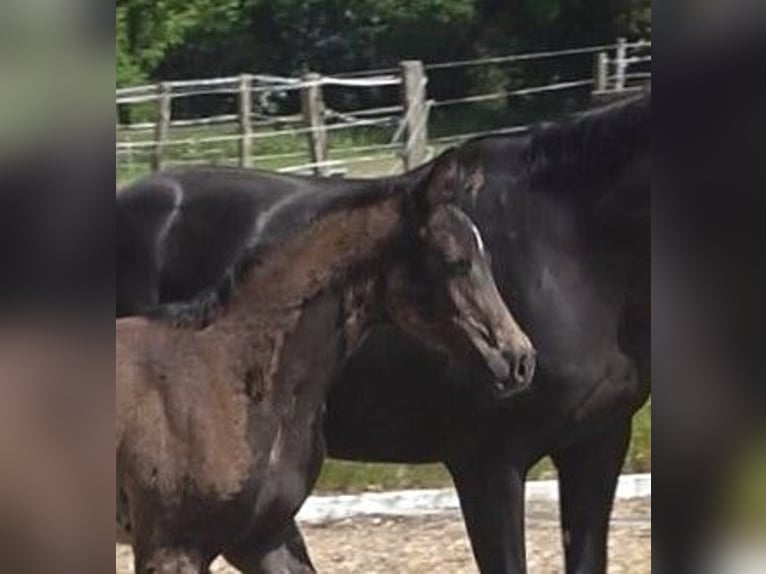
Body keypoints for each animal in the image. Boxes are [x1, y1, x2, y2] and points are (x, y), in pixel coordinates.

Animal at [117, 153, 536, 574]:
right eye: (457, 262)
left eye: (486, 258)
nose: (519, 359)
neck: (227, 372)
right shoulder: (171, 547)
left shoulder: (264, 536)